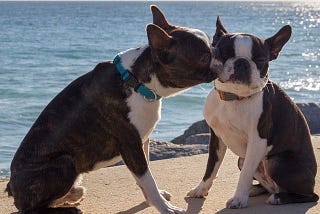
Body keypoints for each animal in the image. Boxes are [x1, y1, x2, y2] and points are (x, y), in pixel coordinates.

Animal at [6, 5, 220, 213]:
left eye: (212, 45)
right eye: (204, 56)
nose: (218, 53)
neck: (136, 81)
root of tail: (11, 186)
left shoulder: (143, 141)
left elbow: (146, 176)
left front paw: (154, 198)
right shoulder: (131, 144)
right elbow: (147, 179)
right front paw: (165, 207)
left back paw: (71, 196)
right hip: (63, 164)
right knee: (31, 208)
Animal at [188, 17, 318, 209]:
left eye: (261, 59)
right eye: (224, 54)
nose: (242, 62)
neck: (235, 98)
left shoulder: (257, 141)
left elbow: (245, 174)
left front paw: (238, 199)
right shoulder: (216, 138)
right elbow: (211, 167)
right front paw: (201, 189)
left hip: (277, 162)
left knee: (309, 195)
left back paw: (279, 198)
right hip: (241, 161)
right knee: (266, 185)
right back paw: (254, 190)